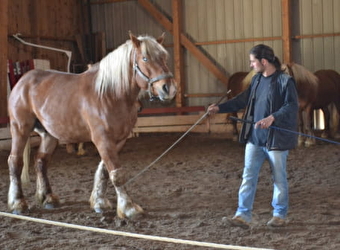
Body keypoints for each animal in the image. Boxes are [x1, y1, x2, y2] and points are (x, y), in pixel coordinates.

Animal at [6, 33, 177, 219]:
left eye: (164, 57)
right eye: (145, 58)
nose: (168, 89)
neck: (110, 94)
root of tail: (23, 80)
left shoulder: (119, 140)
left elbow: (104, 171)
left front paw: (99, 203)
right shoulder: (102, 139)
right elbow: (116, 173)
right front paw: (128, 208)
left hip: (49, 135)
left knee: (40, 161)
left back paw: (48, 198)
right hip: (20, 128)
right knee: (15, 161)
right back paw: (18, 203)